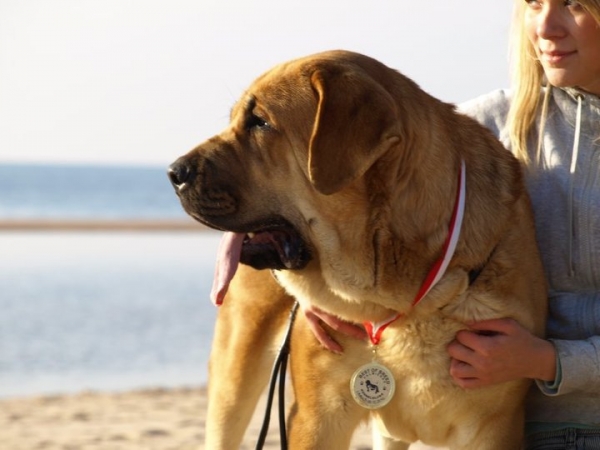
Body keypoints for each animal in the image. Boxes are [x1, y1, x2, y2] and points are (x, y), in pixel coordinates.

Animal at [169, 50, 548, 450]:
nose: (173, 172)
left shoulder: (495, 426)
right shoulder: (318, 417)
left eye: (260, 122)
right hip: (234, 375)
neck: (402, 304)